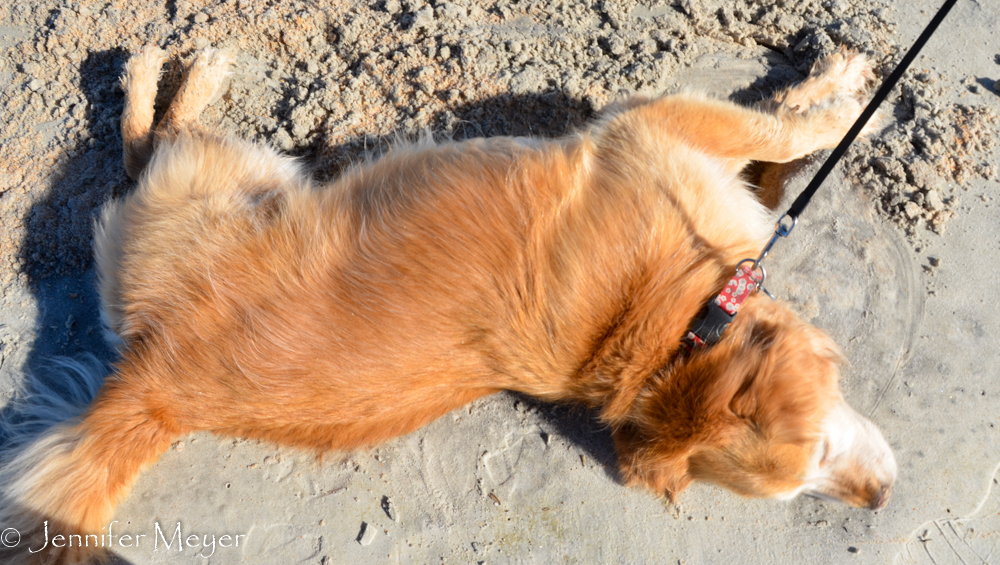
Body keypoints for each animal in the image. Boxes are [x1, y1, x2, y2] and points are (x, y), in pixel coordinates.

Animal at [0, 46, 896, 560]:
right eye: (817, 455)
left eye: (811, 484)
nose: (882, 502)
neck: (675, 331)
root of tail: (158, 387)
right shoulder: (664, 124)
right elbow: (783, 133)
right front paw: (846, 95)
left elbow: (780, 142)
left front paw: (830, 96)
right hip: (224, 175)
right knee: (146, 142)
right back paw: (173, 74)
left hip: (224, 182)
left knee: (144, 149)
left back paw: (173, 76)